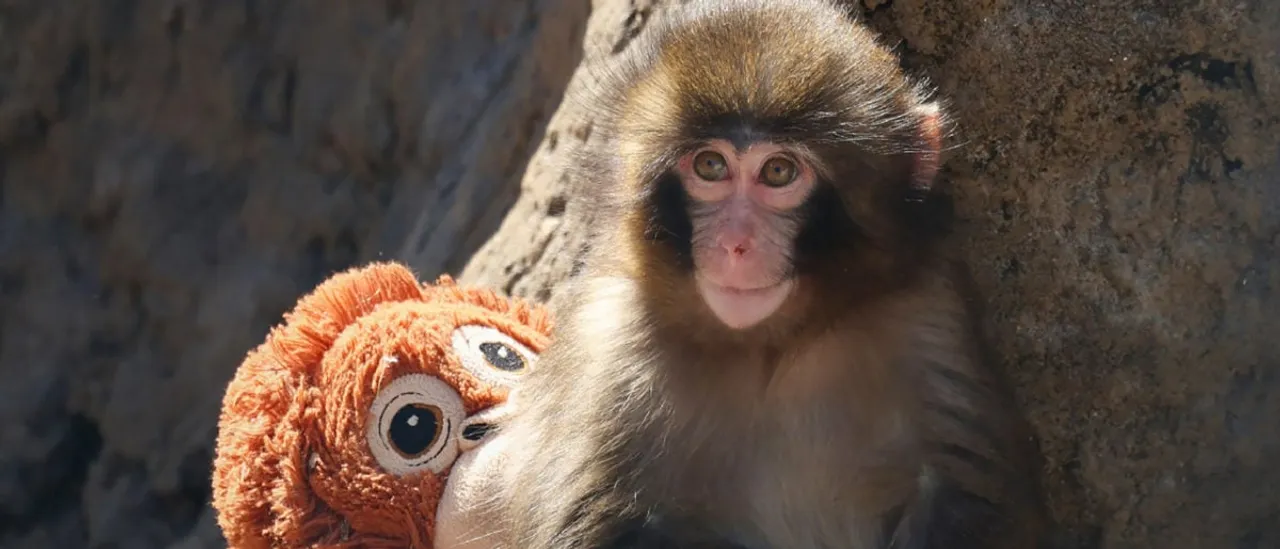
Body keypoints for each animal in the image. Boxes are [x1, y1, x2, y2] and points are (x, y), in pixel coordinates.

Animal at [484, 0, 1049, 548]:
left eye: (778, 172)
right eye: (710, 166)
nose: (736, 244)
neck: (768, 345)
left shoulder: (927, 311)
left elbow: (968, 496)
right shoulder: (610, 342)